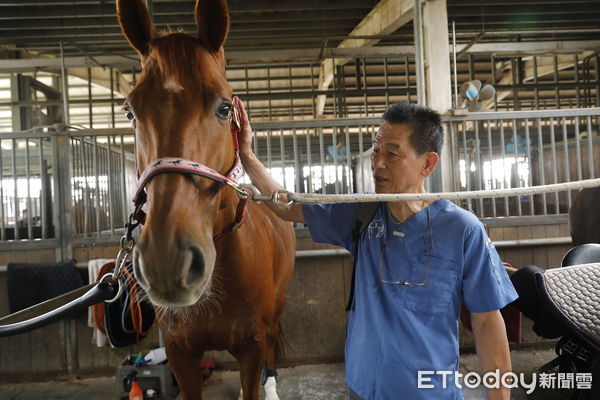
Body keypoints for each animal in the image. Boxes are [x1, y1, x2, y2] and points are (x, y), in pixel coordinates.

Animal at [115, 1, 296, 398]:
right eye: (130, 111)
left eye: (225, 108)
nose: (167, 262)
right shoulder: (181, 354)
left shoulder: (252, 347)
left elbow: (257, 369)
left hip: (277, 309)